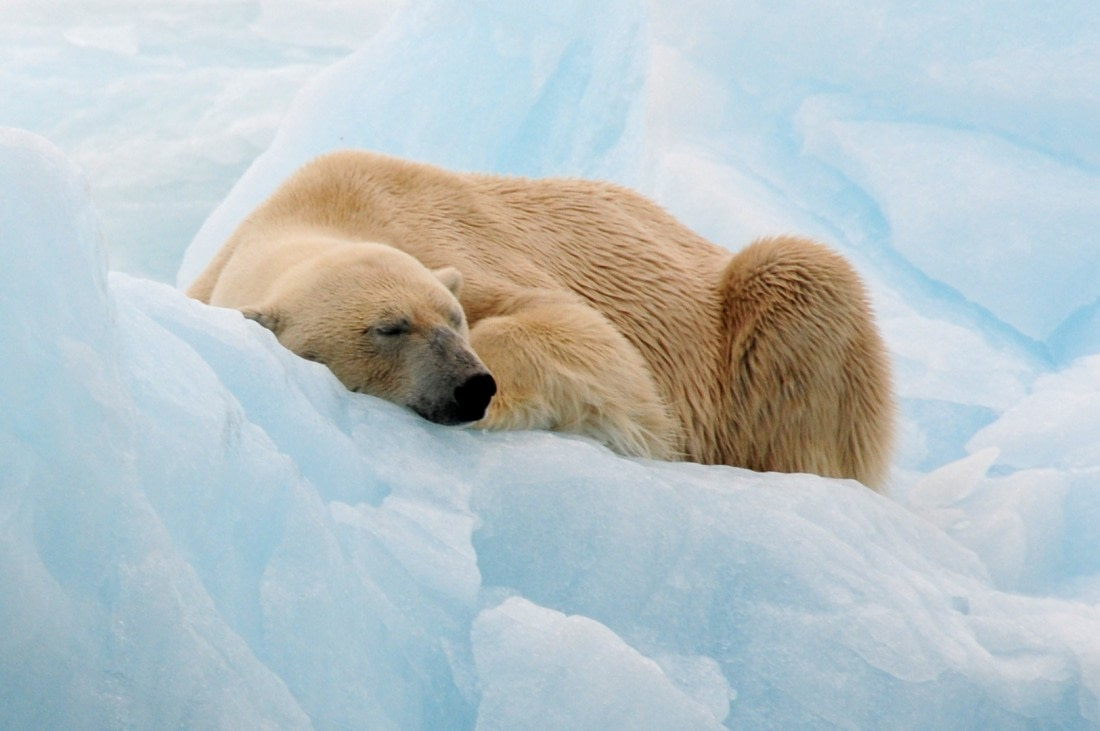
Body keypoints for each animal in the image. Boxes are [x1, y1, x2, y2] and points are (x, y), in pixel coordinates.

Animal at [187, 150, 895, 489]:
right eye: (388, 329)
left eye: (453, 319)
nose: (471, 386)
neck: (310, 210)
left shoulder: (442, 236)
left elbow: (578, 330)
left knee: (801, 278)